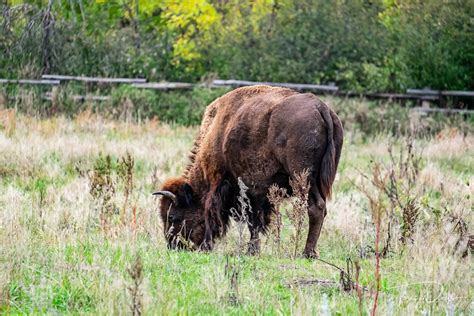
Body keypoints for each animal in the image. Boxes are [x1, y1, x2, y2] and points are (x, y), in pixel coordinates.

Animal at [154, 85, 342, 258]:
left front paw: (249, 251)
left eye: (172, 216)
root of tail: (321, 107)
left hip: (303, 178)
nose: (173, 246)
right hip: (319, 181)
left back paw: (307, 253)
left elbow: (248, 220)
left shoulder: (240, 188)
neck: (216, 133)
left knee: (315, 207)